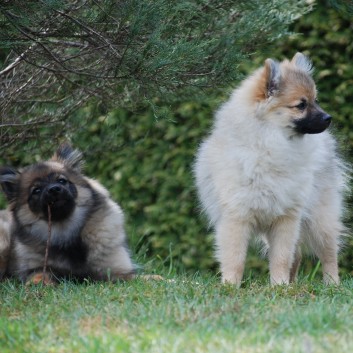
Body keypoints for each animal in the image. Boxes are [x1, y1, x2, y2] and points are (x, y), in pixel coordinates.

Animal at [0, 143, 135, 284]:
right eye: (36, 190)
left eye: (62, 181)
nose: (54, 190)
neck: (65, 231)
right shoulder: (37, 268)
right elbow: (41, 274)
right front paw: (38, 284)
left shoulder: (119, 270)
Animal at [195, 52, 346, 284]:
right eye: (301, 105)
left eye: (316, 100)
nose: (328, 118)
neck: (268, 144)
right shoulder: (237, 217)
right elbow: (235, 258)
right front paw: (231, 285)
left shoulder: (286, 217)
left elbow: (281, 258)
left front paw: (279, 285)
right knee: (298, 255)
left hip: (321, 219)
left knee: (328, 254)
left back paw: (332, 284)